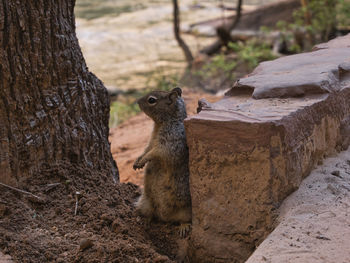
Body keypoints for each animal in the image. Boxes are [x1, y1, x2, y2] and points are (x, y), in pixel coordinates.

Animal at [133, 87, 191, 238]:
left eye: (151, 100)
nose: (137, 101)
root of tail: (165, 217)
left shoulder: (170, 143)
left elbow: (155, 153)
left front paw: (143, 160)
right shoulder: (151, 141)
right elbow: (146, 149)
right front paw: (137, 161)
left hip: (186, 209)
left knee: (185, 220)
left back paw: (183, 227)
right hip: (146, 202)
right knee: (150, 215)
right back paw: (144, 220)